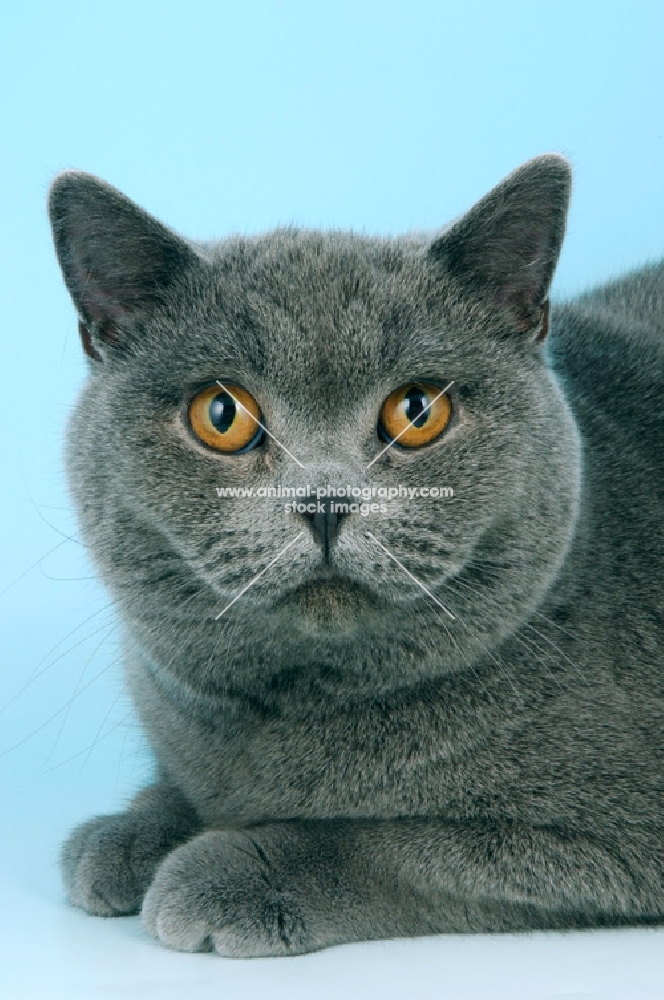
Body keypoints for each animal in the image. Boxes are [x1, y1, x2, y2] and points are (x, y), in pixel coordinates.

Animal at [49, 152, 660, 956]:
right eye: (221, 414)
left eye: (419, 410)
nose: (326, 503)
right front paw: (129, 832)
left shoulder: (614, 835)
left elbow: (405, 844)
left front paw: (231, 868)